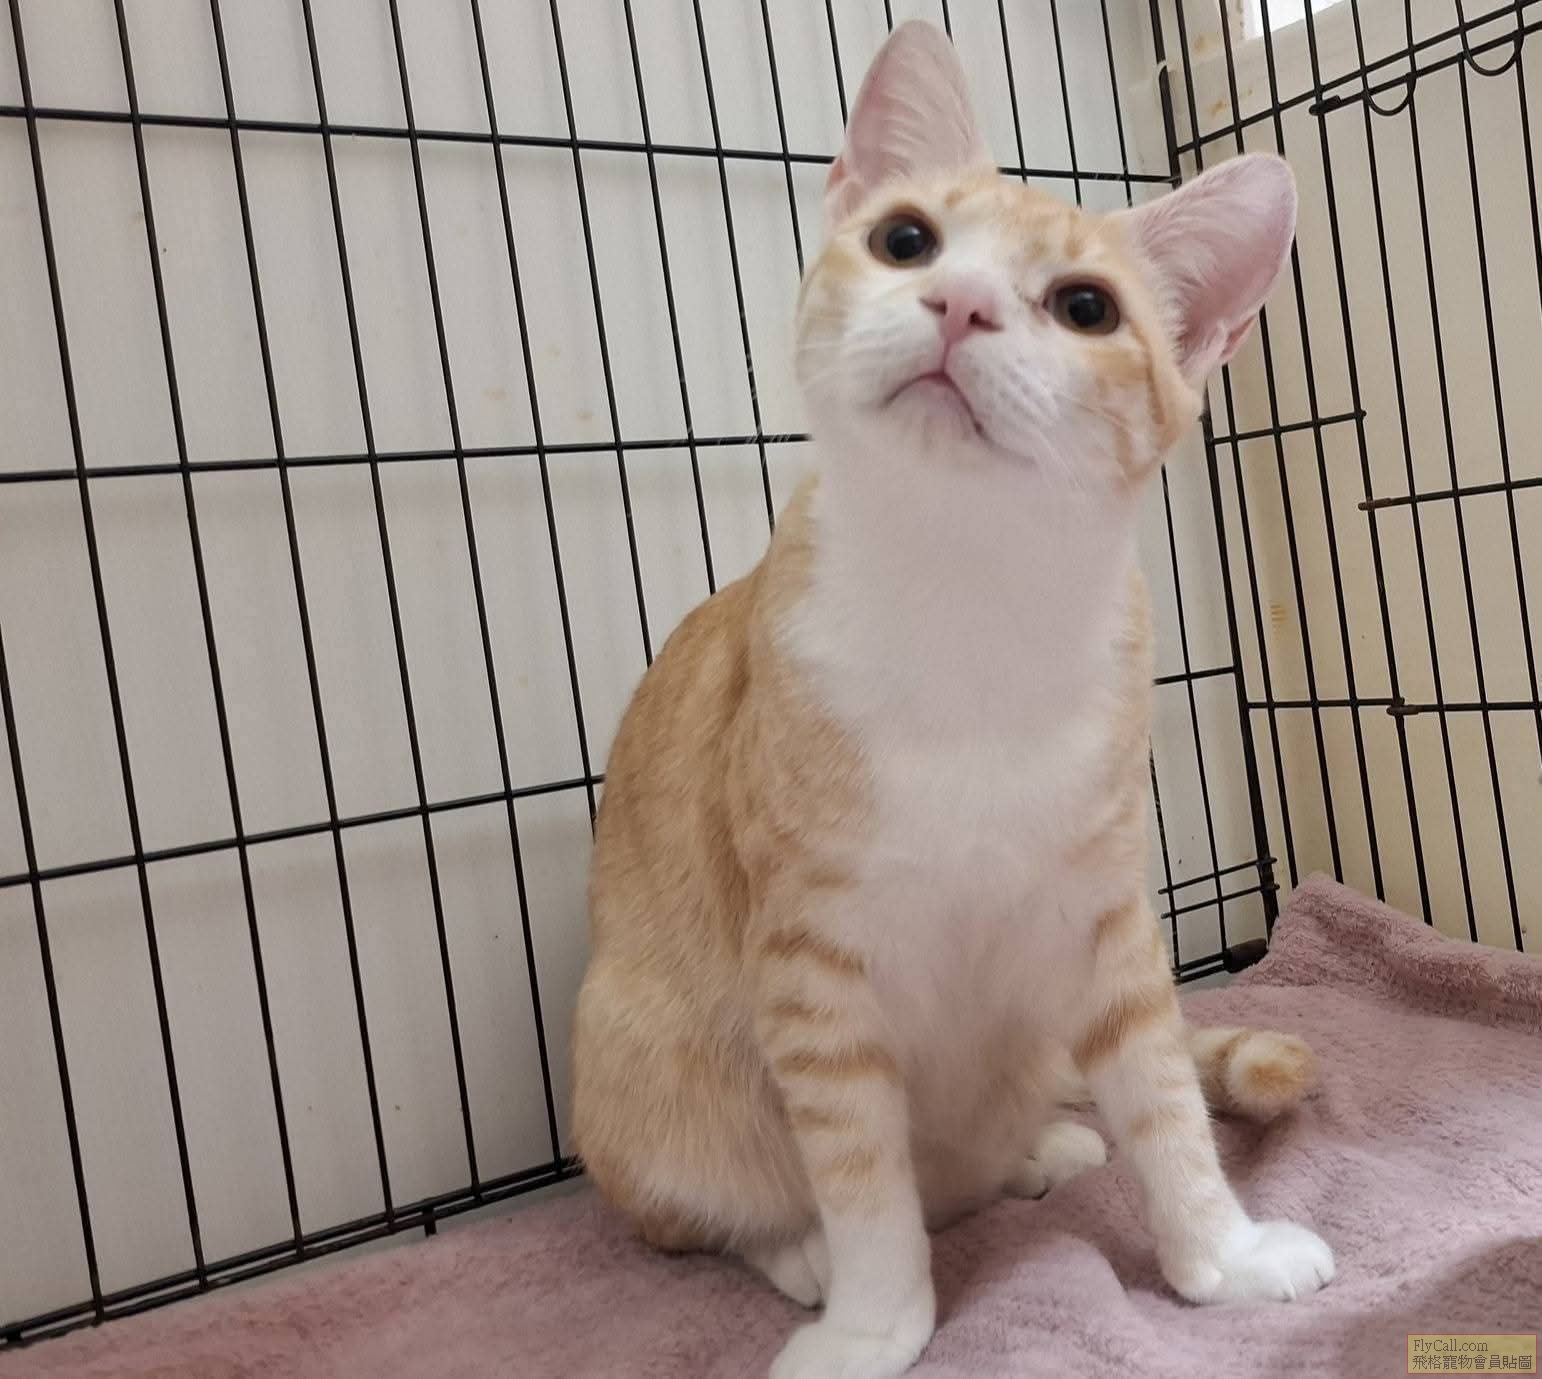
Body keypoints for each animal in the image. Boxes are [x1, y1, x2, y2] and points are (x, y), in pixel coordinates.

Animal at [572, 20, 1331, 1379]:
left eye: (1086, 307)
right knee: (722, 1204)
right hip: (637, 1062)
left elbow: (1164, 1098)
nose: (959, 303)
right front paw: (874, 1324)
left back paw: (1039, 1146)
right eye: (907, 240)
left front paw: (1220, 1255)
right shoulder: (811, 958)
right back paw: (802, 1249)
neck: (969, 593)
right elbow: (859, 1168)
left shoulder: (1103, 911)